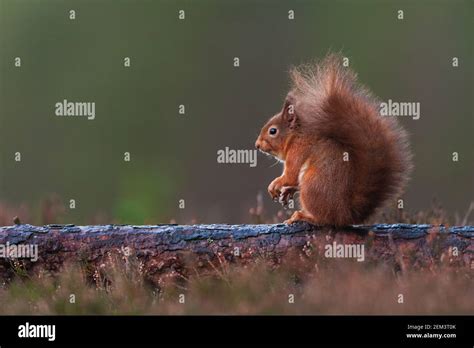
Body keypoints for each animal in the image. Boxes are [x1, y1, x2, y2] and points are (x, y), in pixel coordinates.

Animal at [256, 53, 412, 224]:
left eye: (273, 131)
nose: (257, 145)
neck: (295, 137)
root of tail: (345, 214)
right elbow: (293, 180)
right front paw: (286, 190)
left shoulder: (298, 151)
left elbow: (290, 176)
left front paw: (275, 185)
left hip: (312, 186)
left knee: (324, 219)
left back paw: (302, 216)